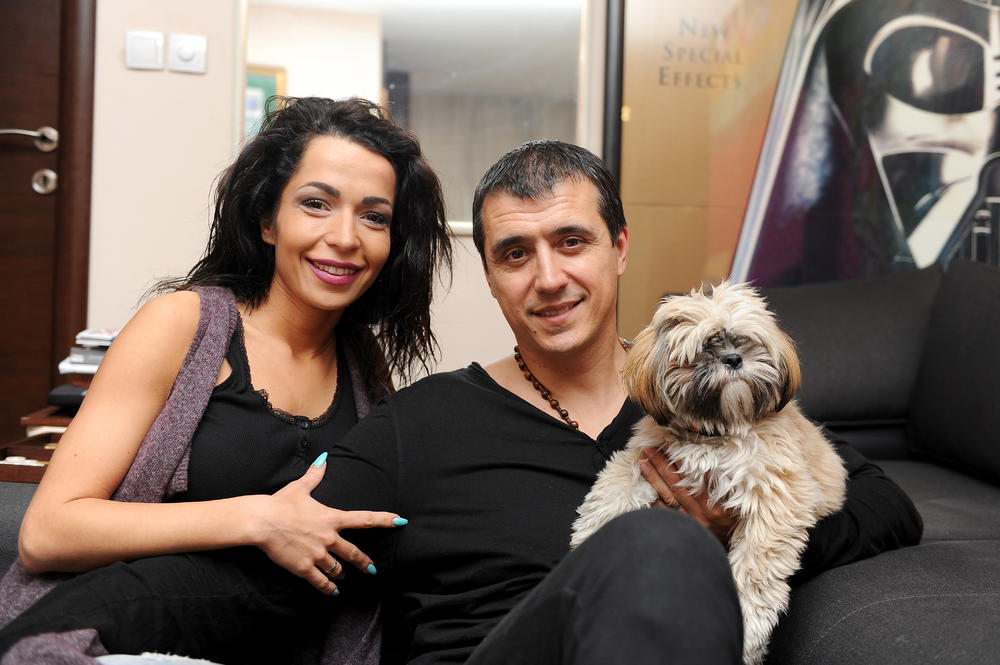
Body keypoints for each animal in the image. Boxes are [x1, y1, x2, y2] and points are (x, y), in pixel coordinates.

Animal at [570, 282, 846, 665]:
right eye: (705, 347)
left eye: (745, 341)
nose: (732, 359)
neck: (714, 432)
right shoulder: (646, 454)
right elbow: (613, 486)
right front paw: (587, 539)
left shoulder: (775, 500)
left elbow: (755, 570)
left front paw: (748, 628)